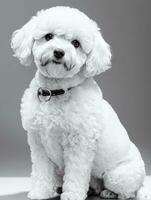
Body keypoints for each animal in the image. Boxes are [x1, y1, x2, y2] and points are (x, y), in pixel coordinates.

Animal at [10, 6, 145, 200]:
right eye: (48, 36)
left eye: (76, 43)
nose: (59, 52)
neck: (56, 92)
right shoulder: (38, 143)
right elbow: (41, 172)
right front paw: (40, 192)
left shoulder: (79, 144)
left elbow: (75, 174)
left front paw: (71, 195)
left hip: (119, 175)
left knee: (128, 192)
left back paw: (109, 192)